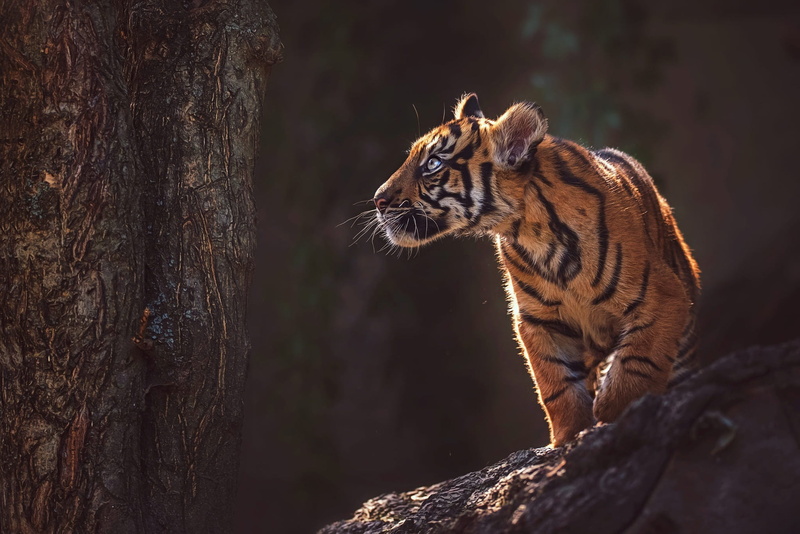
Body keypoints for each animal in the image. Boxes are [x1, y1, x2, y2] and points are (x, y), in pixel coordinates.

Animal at [371, 93, 700, 446]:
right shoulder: (537, 320)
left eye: (432, 164)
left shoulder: (660, 297)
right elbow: (555, 384)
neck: (529, 229)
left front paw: (616, 412)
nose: (378, 200)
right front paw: (568, 437)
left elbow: (638, 363)